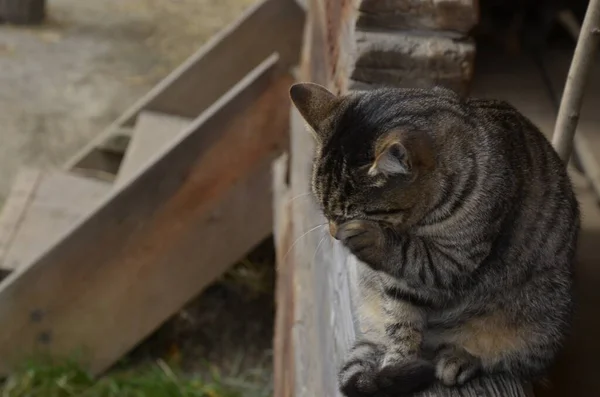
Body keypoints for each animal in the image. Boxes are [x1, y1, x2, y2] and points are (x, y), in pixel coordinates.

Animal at [290, 82, 580, 394]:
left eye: (348, 215)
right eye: (325, 210)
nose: (334, 232)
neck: (415, 224)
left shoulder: (456, 259)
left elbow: (411, 255)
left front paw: (373, 238)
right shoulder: (399, 284)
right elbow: (401, 324)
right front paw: (396, 363)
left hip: (541, 319)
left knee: (511, 360)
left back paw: (461, 359)